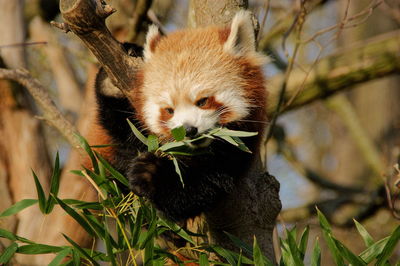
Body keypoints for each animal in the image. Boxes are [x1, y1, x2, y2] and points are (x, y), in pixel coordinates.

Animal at [93, 11, 268, 221]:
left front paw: (153, 175)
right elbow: (122, 131)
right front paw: (112, 79)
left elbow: (203, 184)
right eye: (169, 110)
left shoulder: (239, 146)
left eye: (202, 101)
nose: (189, 130)